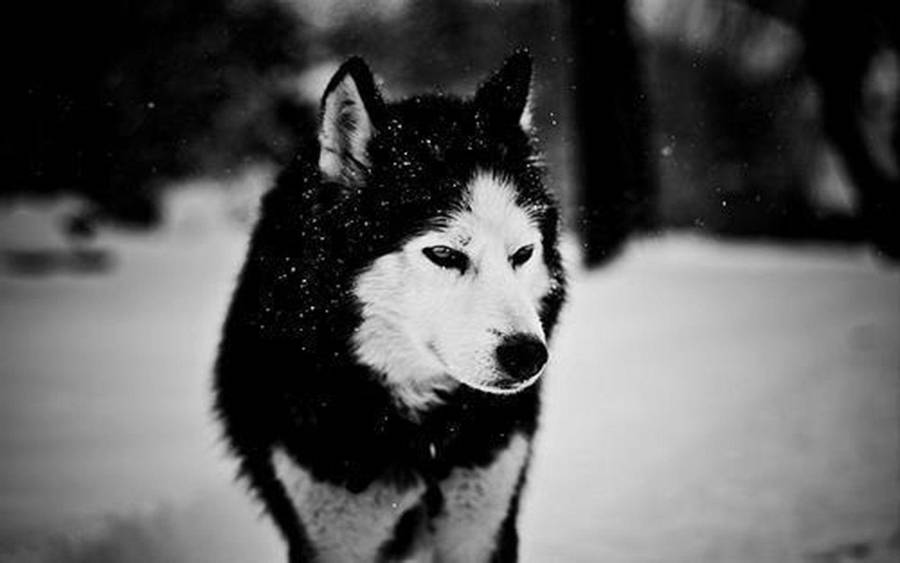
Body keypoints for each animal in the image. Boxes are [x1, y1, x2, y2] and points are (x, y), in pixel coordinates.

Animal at [214, 51, 566, 562]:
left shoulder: (482, 522)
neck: (420, 434)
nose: (528, 355)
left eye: (521, 254)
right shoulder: (330, 534)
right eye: (443, 254)